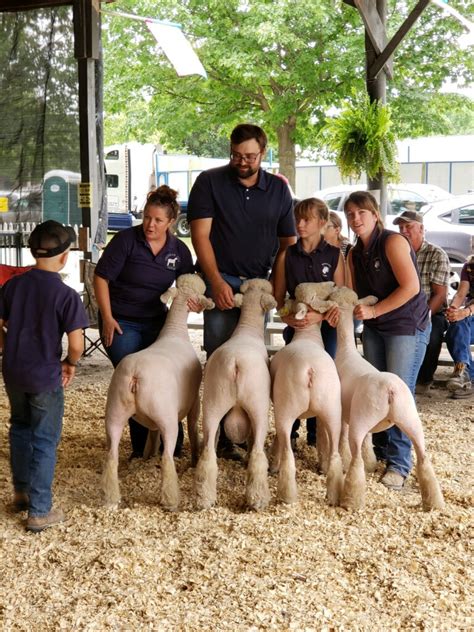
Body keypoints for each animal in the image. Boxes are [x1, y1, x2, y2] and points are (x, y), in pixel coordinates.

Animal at [103, 274, 215, 512]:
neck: (175, 331)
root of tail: (135, 376)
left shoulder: (151, 420)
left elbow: (151, 438)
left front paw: (147, 458)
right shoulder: (194, 402)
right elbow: (193, 429)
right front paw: (194, 460)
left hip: (114, 411)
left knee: (111, 457)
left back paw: (111, 499)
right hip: (166, 416)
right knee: (167, 458)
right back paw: (171, 500)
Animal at [193, 278, 276, 512]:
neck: (247, 329)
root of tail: (235, 363)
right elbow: (250, 439)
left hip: (212, 402)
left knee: (208, 450)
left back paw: (204, 498)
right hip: (258, 406)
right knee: (257, 452)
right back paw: (257, 499)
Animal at [270, 284, 344, 506]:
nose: (334, 285)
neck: (307, 337)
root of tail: (310, 369)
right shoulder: (319, 415)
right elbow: (321, 439)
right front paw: (321, 465)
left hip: (285, 409)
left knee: (287, 451)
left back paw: (286, 494)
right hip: (332, 409)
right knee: (334, 451)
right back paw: (332, 490)